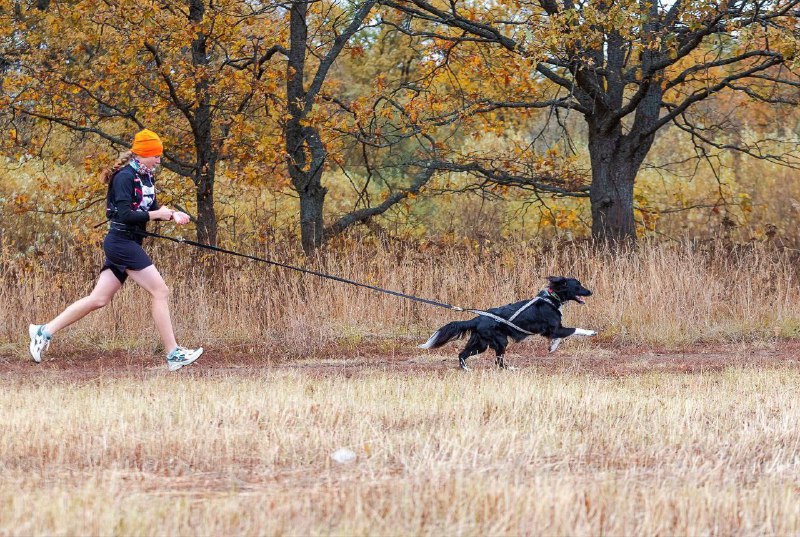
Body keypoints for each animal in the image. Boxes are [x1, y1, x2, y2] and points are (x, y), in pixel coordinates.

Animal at [418, 276, 592, 368]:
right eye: (578, 286)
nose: (590, 291)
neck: (552, 298)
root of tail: (477, 318)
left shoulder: (553, 330)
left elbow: (559, 338)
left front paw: (552, 346)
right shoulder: (555, 328)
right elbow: (575, 330)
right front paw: (591, 332)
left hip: (481, 344)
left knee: (463, 354)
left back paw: (467, 369)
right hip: (500, 341)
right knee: (498, 362)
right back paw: (511, 369)